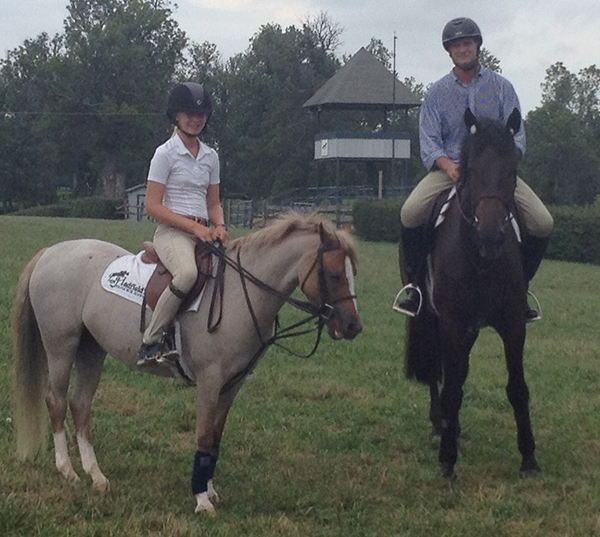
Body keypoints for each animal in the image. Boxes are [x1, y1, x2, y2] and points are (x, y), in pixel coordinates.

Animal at [12, 213, 360, 516]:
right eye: (334, 275)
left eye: (353, 272)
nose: (353, 326)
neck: (239, 292)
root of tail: (50, 252)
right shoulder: (209, 381)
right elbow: (204, 436)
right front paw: (202, 500)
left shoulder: (231, 385)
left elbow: (215, 439)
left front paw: (209, 490)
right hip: (61, 345)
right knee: (56, 401)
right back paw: (68, 472)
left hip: (91, 349)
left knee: (80, 405)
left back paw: (95, 475)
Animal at [404, 111, 544, 480]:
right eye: (471, 170)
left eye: (512, 169)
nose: (491, 235)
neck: (479, 256)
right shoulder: (452, 322)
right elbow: (452, 389)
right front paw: (447, 460)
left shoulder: (513, 324)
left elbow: (517, 388)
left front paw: (529, 458)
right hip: (435, 320)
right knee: (439, 371)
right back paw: (440, 425)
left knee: (458, 370)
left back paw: (452, 428)